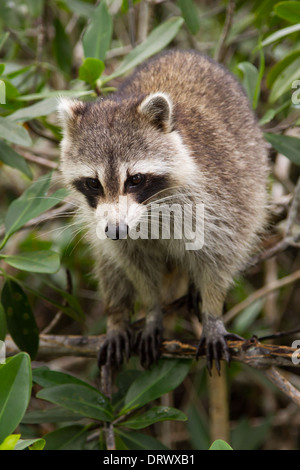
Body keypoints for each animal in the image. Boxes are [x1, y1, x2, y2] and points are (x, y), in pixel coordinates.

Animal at [58, 49, 270, 372]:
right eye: (93, 183)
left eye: (135, 180)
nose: (116, 230)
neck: (148, 211)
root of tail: (183, 52)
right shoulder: (112, 229)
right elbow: (135, 266)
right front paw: (151, 310)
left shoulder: (219, 202)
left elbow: (219, 259)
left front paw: (212, 313)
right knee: (108, 263)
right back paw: (117, 317)